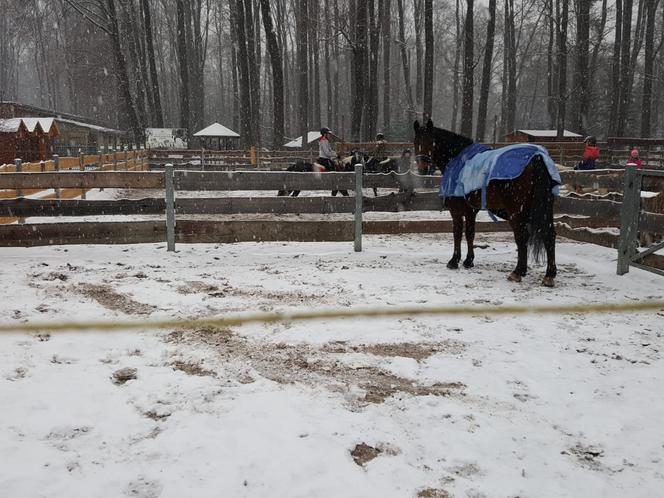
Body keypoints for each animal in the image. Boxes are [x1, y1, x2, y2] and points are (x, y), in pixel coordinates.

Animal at [416, 118, 560, 286]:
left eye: (430, 142)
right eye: (416, 141)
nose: (423, 168)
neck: (459, 161)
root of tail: (537, 157)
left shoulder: (457, 210)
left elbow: (457, 233)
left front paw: (454, 260)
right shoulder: (471, 211)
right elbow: (470, 233)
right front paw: (468, 261)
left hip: (517, 212)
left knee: (522, 237)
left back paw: (518, 272)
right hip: (544, 209)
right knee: (549, 235)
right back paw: (549, 274)